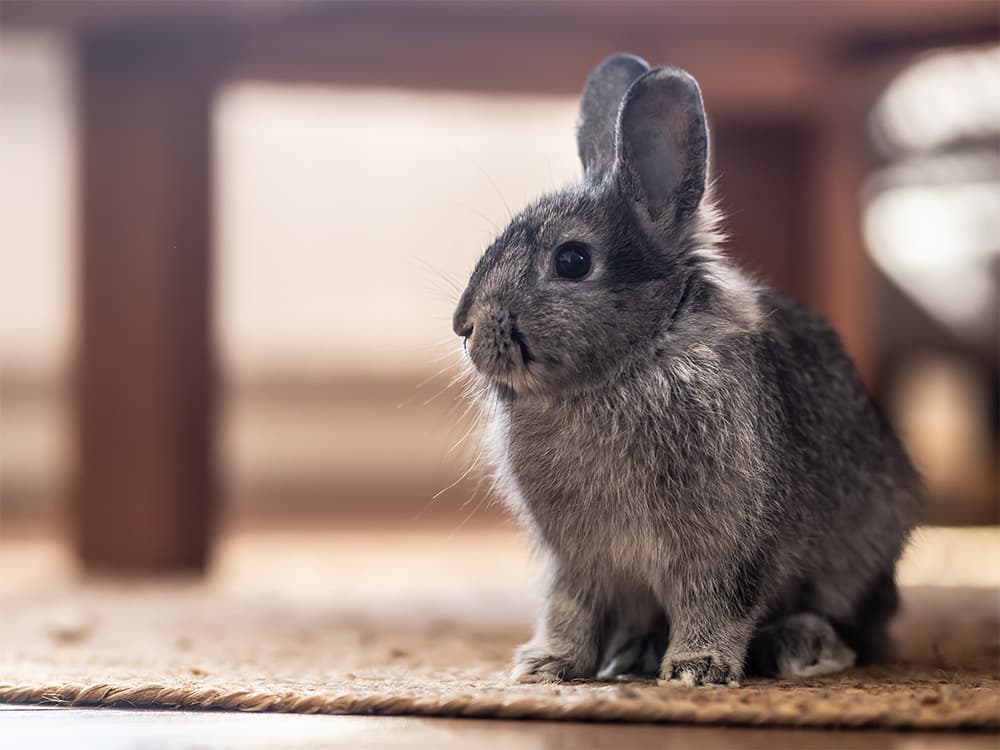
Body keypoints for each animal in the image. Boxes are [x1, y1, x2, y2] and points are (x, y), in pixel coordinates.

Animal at [451, 54, 921, 686]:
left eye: (572, 260)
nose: (464, 326)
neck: (636, 356)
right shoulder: (578, 561)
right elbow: (569, 610)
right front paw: (547, 666)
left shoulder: (725, 546)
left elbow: (715, 604)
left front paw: (696, 671)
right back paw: (633, 652)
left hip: (856, 558)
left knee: (854, 625)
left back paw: (801, 647)